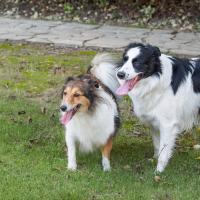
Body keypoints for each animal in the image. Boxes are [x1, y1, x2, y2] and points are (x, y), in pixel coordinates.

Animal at [115, 43, 200, 173]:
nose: (119, 74)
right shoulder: (154, 122)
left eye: (137, 62)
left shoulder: (168, 124)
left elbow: (164, 150)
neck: (156, 79)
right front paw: (154, 159)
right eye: (125, 59)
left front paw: (158, 171)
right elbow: (156, 144)